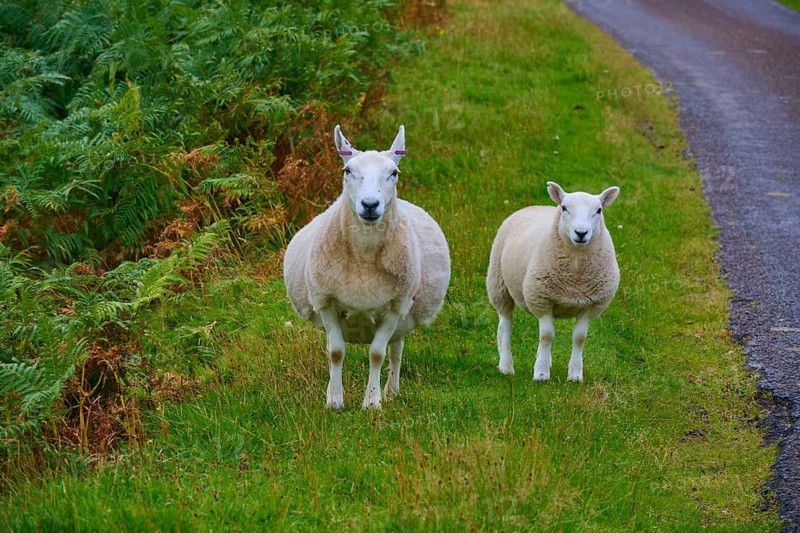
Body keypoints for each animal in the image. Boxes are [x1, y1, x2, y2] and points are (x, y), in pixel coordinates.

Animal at [283, 125, 450, 409]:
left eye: (393, 173)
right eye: (347, 170)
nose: (370, 205)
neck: (363, 255)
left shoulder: (395, 306)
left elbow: (377, 354)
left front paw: (372, 402)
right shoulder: (325, 302)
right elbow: (336, 353)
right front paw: (334, 401)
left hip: (403, 314)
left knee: (396, 350)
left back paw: (392, 391)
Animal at [486, 181, 620, 382]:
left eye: (599, 210)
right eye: (564, 208)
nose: (581, 233)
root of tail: (535, 206)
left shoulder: (590, 305)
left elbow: (579, 338)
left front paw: (575, 374)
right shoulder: (542, 299)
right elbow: (547, 336)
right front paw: (541, 374)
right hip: (499, 284)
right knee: (505, 326)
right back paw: (506, 366)